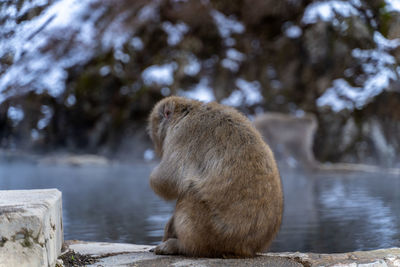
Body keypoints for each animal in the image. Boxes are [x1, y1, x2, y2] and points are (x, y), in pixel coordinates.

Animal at [148, 96, 284, 258]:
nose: (156, 147)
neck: (188, 111)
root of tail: (249, 249)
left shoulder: (183, 133)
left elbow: (168, 179)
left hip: (215, 234)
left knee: (190, 194)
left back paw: (181, 246)